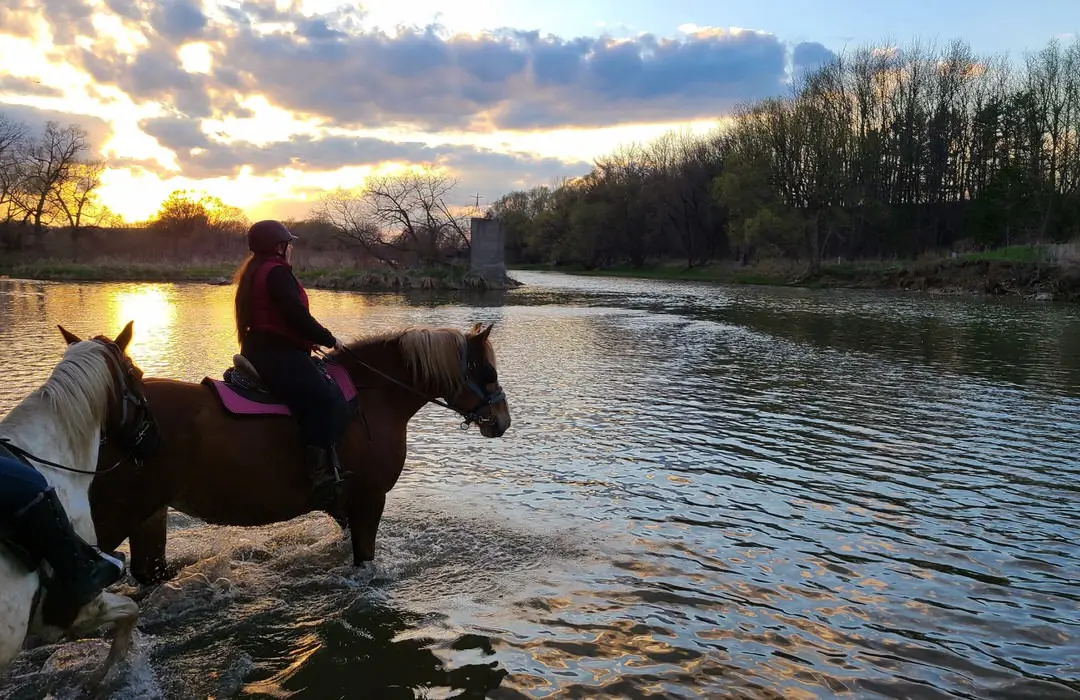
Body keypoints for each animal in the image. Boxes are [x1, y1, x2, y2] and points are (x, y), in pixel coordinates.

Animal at [86, 321, 511, 585]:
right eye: (488, 372)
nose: (502, 420)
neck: (375, 395)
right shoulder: (370, 498)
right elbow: (364, 558)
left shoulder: (341, 501)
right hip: (111, 518)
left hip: (149, 514)